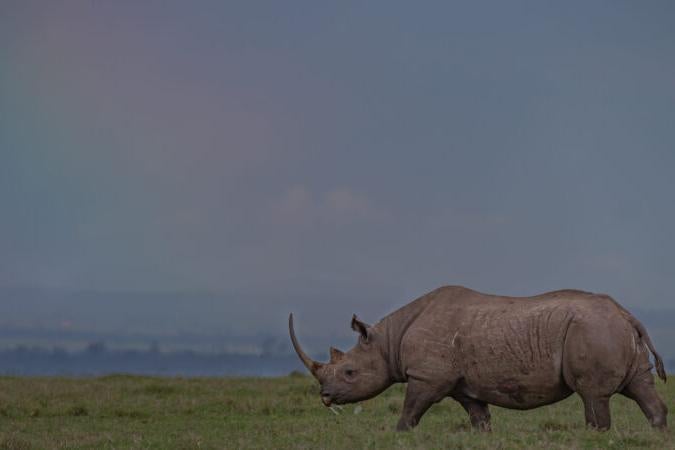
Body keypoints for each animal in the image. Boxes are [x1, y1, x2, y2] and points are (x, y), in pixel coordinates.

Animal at [289, 286, 668, 431]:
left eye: (350, 372)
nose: (324, 396)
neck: (388, 340)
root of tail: (626, 313)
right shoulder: (463, 385)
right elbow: (479, 418)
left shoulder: (427, 377)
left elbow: (410, 411)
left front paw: (399, 435)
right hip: (609, 329)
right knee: (639, 386)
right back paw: (658, 433)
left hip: (593, 329)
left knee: (593, 395)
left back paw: (596, 435)